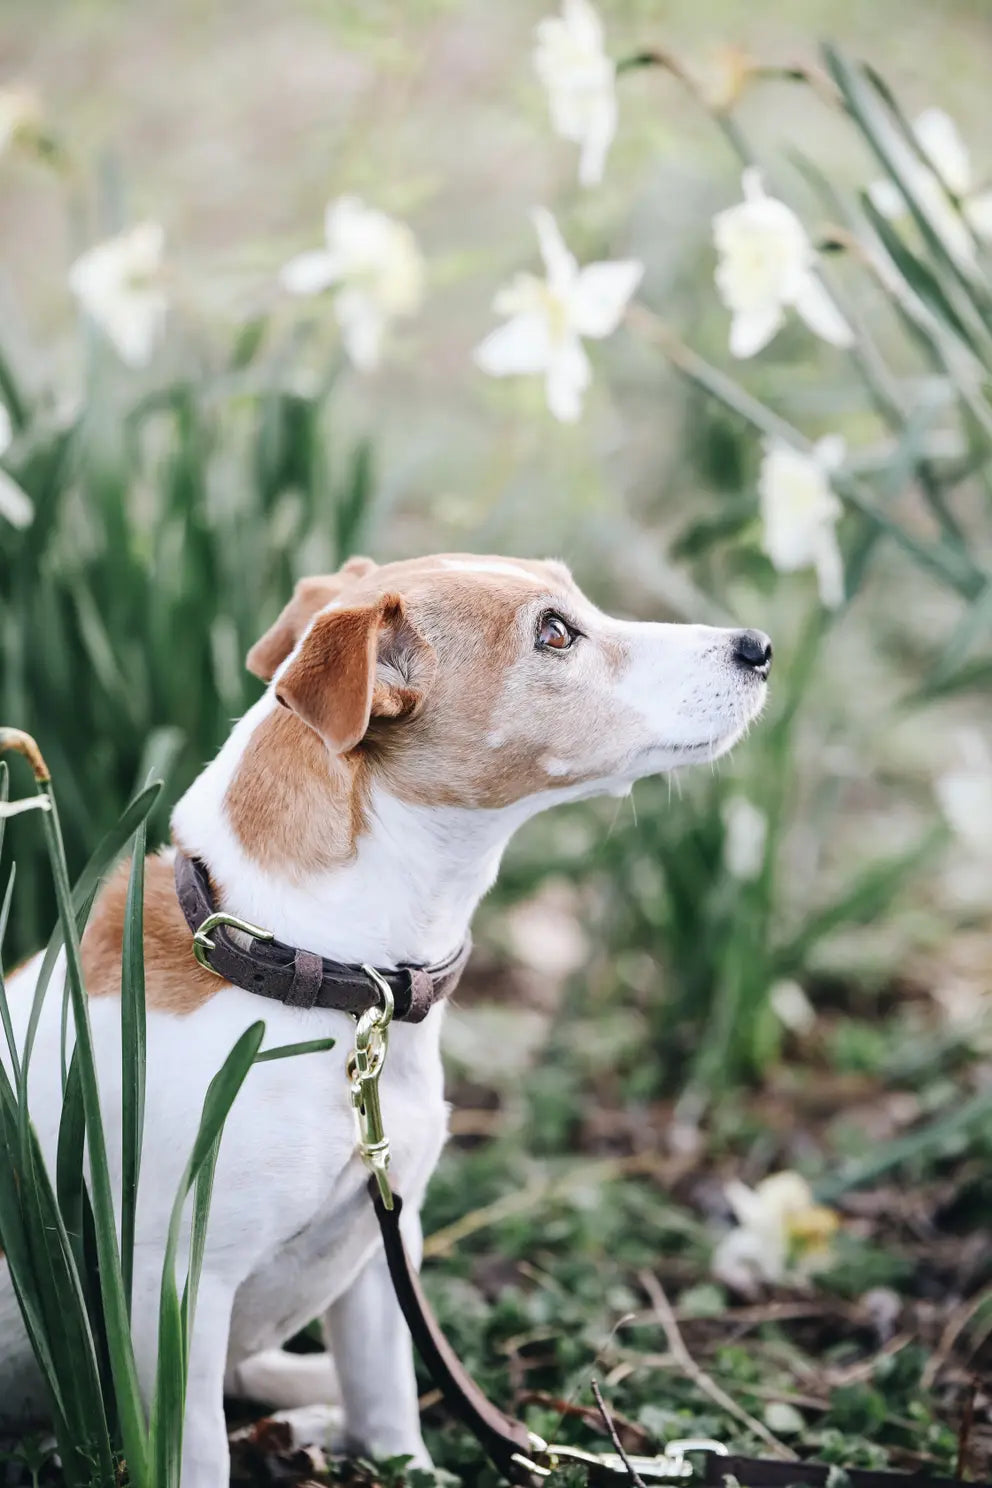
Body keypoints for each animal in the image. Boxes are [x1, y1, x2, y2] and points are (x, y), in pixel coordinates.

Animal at [0, 553, 773, 1482]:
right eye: (554, 633)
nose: (759, 645)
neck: (317, 973)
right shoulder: (177, 1292)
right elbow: (200, 1450)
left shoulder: (380, 1243)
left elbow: (389, 1401)